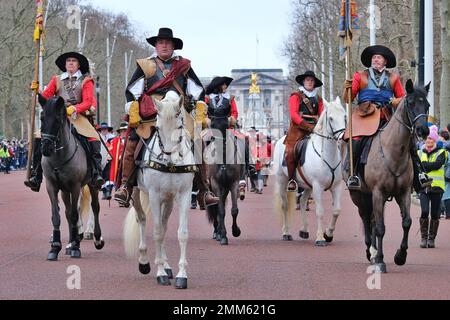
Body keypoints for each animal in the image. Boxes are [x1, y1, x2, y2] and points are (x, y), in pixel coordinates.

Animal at [123, 91, 195, 288]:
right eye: (158, 127)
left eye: (180, 126)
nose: (170, 158)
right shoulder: (154, 195)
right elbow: (156, 232)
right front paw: (160, 272)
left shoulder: (184, 194)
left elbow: (182, 233)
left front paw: (181, 275)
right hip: (137, 193)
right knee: (142, 219)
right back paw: (145, 262)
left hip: (168, 198)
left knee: (163, 224)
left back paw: (166, 264)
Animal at [272, 96, 346, 246]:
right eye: (331, 118)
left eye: (344, 116)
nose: (342, 137)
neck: (327, 155)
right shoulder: (318, 187)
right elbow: (320, 211)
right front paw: (320, 238)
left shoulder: (336, 187)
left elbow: (336, 210)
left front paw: (328, 234)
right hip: (283, 181)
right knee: (285, 205)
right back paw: (286, 233)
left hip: (307, 186)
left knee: (302, 201)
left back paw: (304, 230)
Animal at [346, 80, 430, 272]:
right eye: (411, 103)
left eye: (427, 105)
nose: (423, 130)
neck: (393, 151)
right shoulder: (378, 192)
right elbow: (381, 228)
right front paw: (380, 260)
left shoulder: (403, 193)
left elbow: (406, 222)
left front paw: (400, 256)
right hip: (360, 196)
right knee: (367, 219)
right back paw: (371, 252)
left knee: (372, 221)